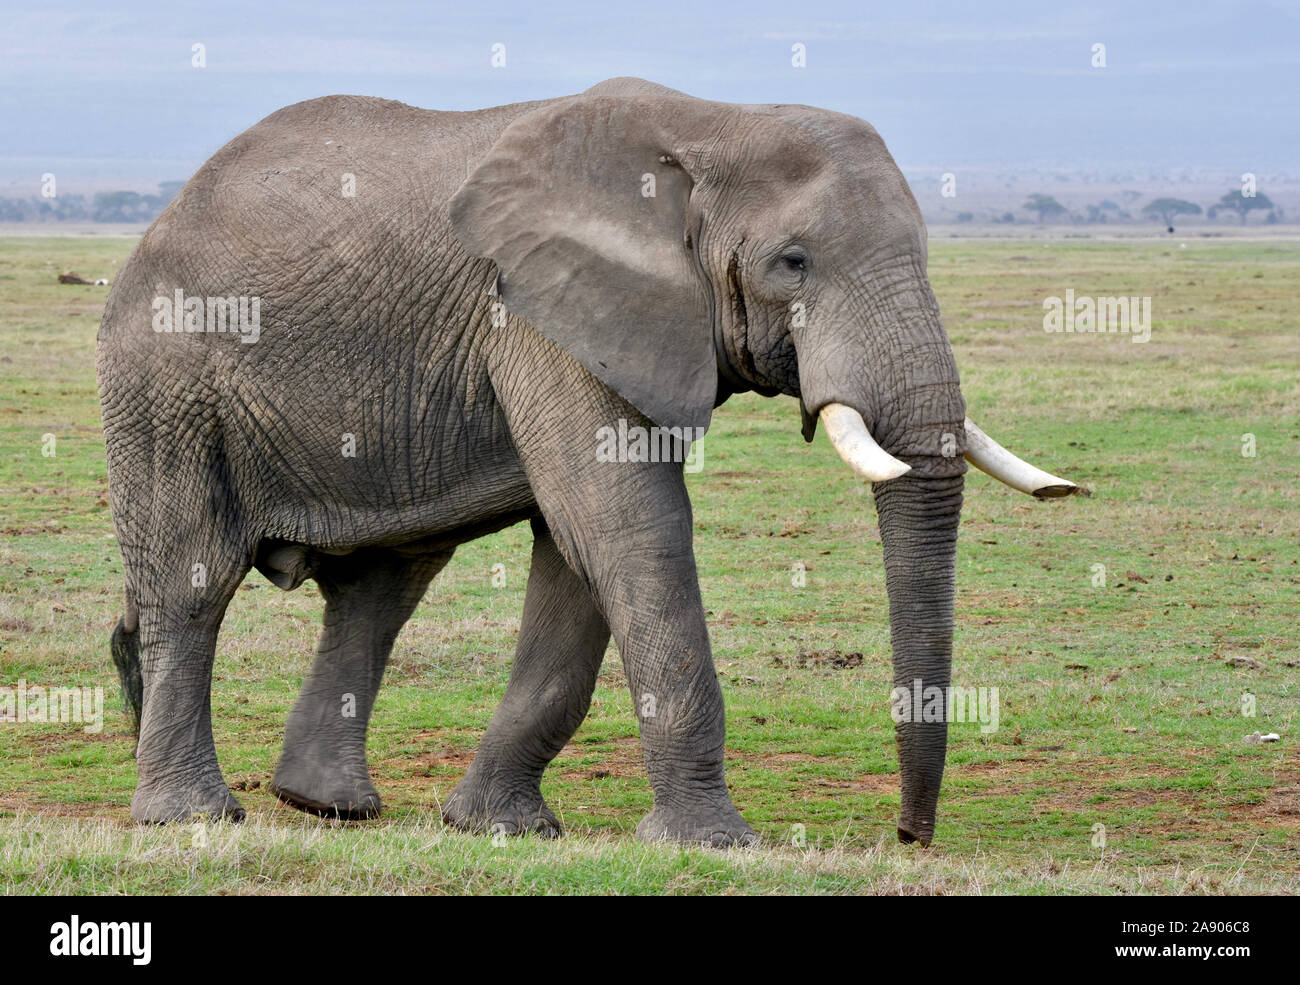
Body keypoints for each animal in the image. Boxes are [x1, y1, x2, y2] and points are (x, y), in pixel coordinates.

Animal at [98, 77, 1076, 847]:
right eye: (792, 262)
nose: (909, 836)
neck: (713, 123)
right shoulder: (539, 313)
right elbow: (627, 524)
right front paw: (714, 843)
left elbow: (579, 552)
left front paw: (499, 827)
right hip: (166, 376)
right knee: (193, 577)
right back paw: (193, 816)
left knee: (382, 587)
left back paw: (326, 805)